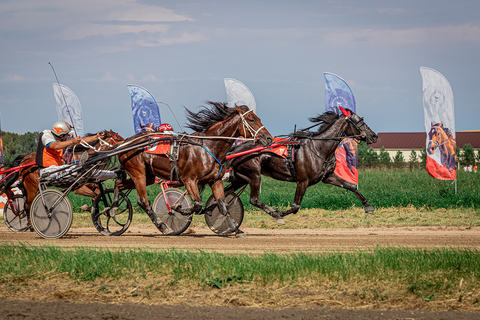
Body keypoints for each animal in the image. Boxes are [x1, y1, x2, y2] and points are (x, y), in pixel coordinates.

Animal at [116, 102, 272, 235]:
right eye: (251, 120)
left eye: (258, 118)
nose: (269, 138)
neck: (209, 147)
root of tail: (124, 143)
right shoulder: (189, 180)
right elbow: (197, 205)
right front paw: (179, 209)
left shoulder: (215, 180)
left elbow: (222, 205)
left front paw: (235, 229)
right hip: (138, 173)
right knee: (143, 201)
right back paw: (163, 226)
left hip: (147, 175)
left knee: (119, 184)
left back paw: (114, 206)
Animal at [225, 107, 378, 220]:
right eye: (359, 122)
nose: (374, 136)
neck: (319, 148)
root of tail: (237, 149)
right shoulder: (303, 181)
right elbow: (295, 207)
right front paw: (279, 213)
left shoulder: (328, 177)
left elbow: (351, 186)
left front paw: (368, 206)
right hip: (254, 175)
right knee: (253, 199)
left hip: (240, 177)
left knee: (226, 193)